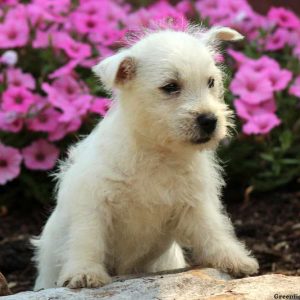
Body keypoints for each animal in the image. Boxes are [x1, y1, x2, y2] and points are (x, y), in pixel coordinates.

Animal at [32, 26, 258, 290]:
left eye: (210, 82)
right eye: (170, 86)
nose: (210, 120)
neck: (156, 151)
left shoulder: (194, 203)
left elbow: (211, 230)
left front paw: (234, 259)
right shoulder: (93, 203)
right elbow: (87, 239)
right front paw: (84, 272)